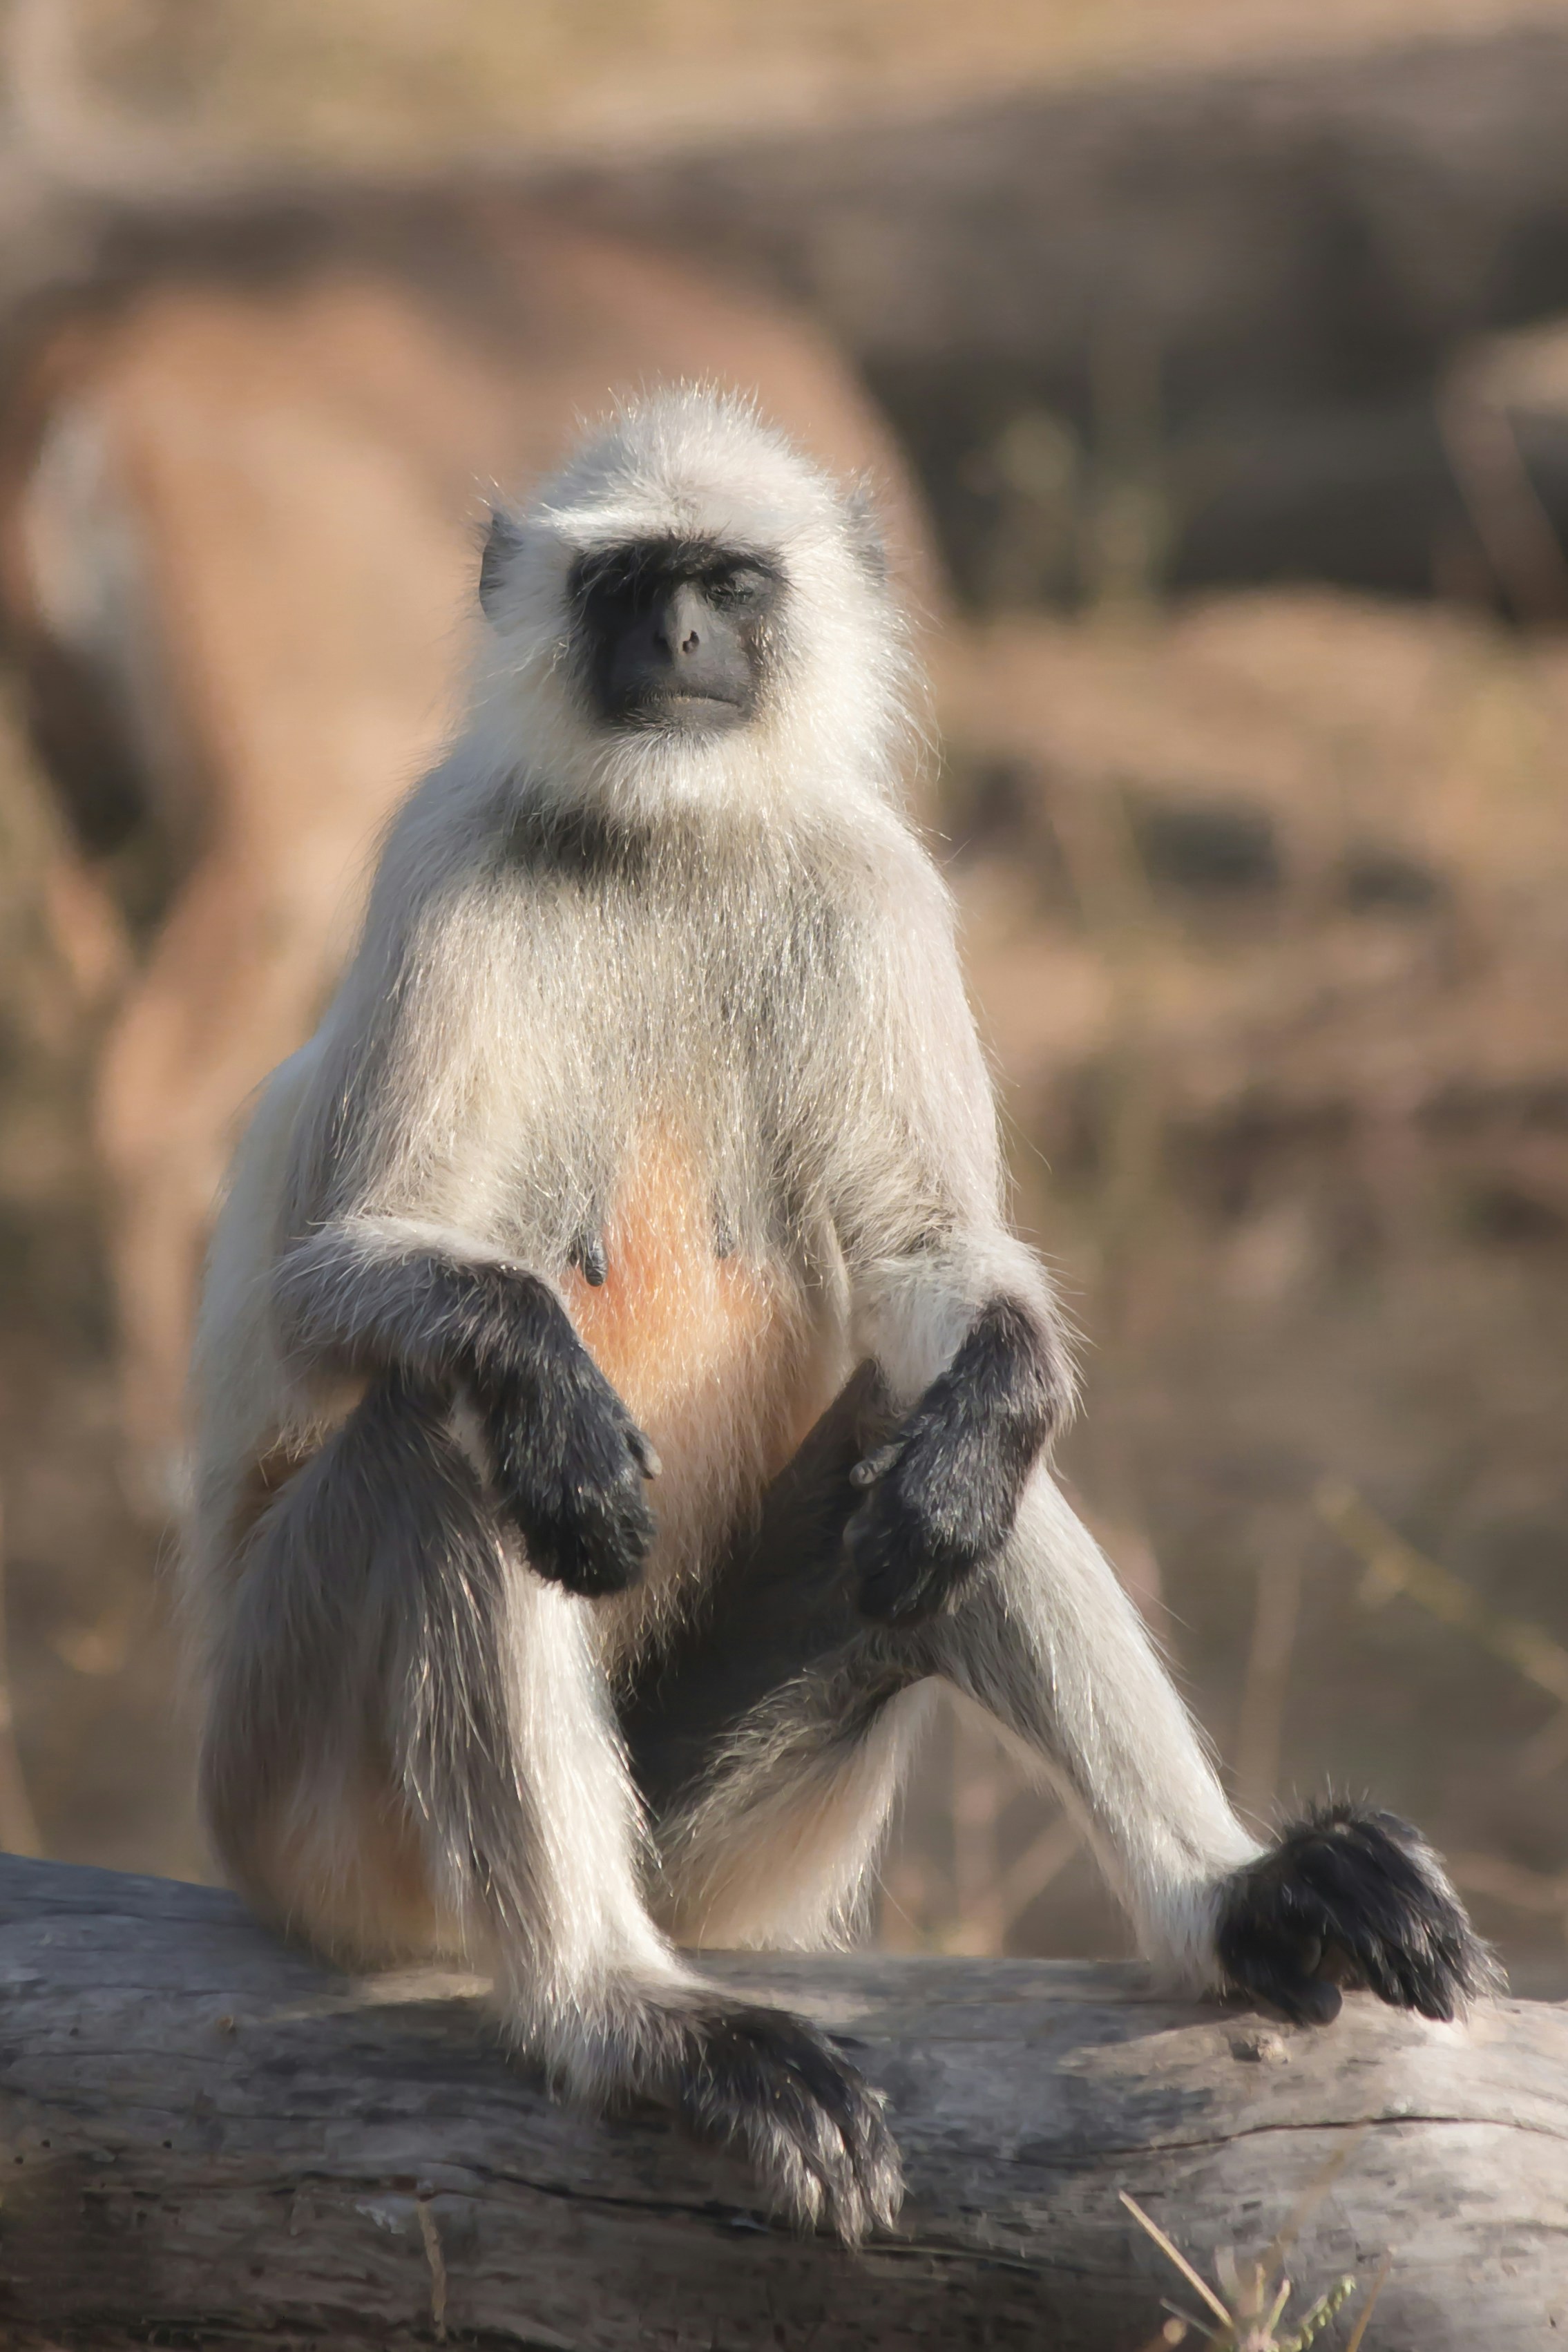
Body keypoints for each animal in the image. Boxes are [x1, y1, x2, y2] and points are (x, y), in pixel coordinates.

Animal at [186, 387, 1496, 2245]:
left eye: (729, 583)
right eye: (627, 585)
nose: (675, 641)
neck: (669, 842)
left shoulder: (875, 879)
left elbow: (934, 1276)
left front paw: (968, 1445)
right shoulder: (437, 860)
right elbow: (335, 1307)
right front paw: (551, 1401)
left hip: (724, 1842)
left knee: (929, 1447)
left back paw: (1232, 1894)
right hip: (297, 1800)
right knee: (443, 1437)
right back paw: (624, 2013)